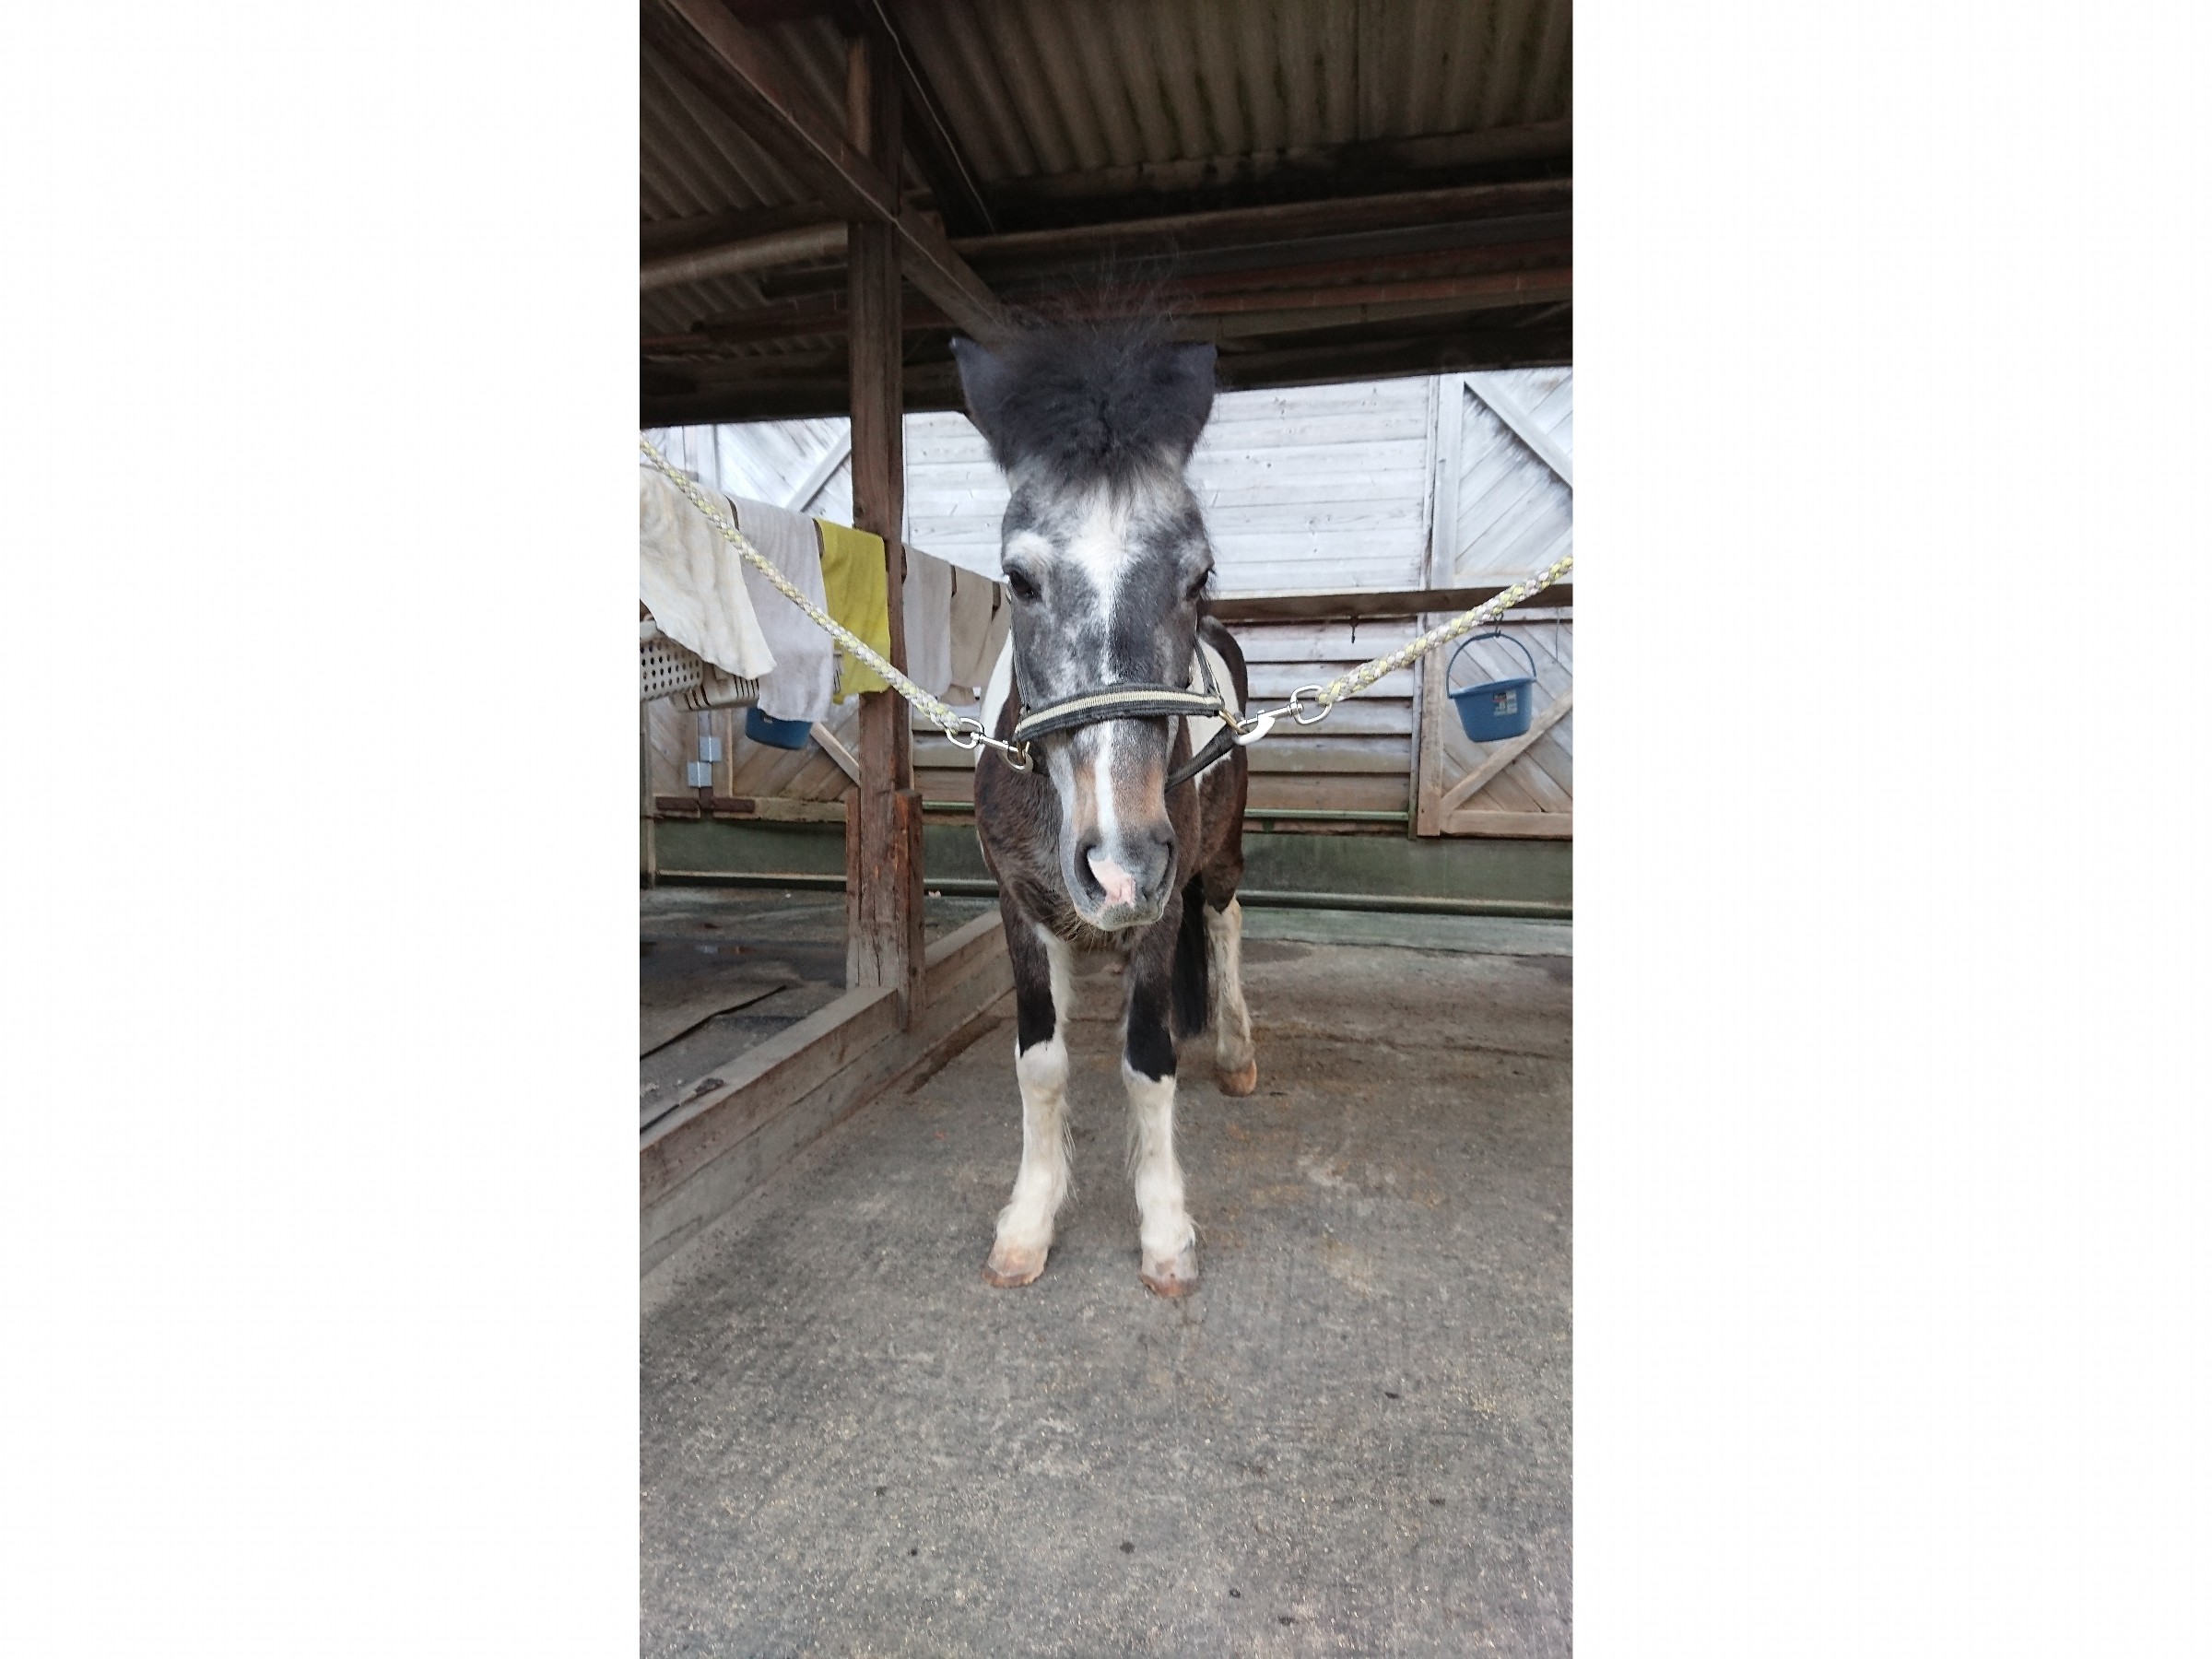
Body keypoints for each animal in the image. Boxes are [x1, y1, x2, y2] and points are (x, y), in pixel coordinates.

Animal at [950, 324, 1260, 1299]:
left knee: (1225, 922)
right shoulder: (1019, 905)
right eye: (1017, 578)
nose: (1121, 865)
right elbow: (1042, 1063)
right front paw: (1029, 1222)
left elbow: (1148, 1063)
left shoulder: (1156, 915)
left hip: (1217, 857)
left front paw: (1164, 1233)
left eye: (1199, 575)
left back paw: (1236, 1054)